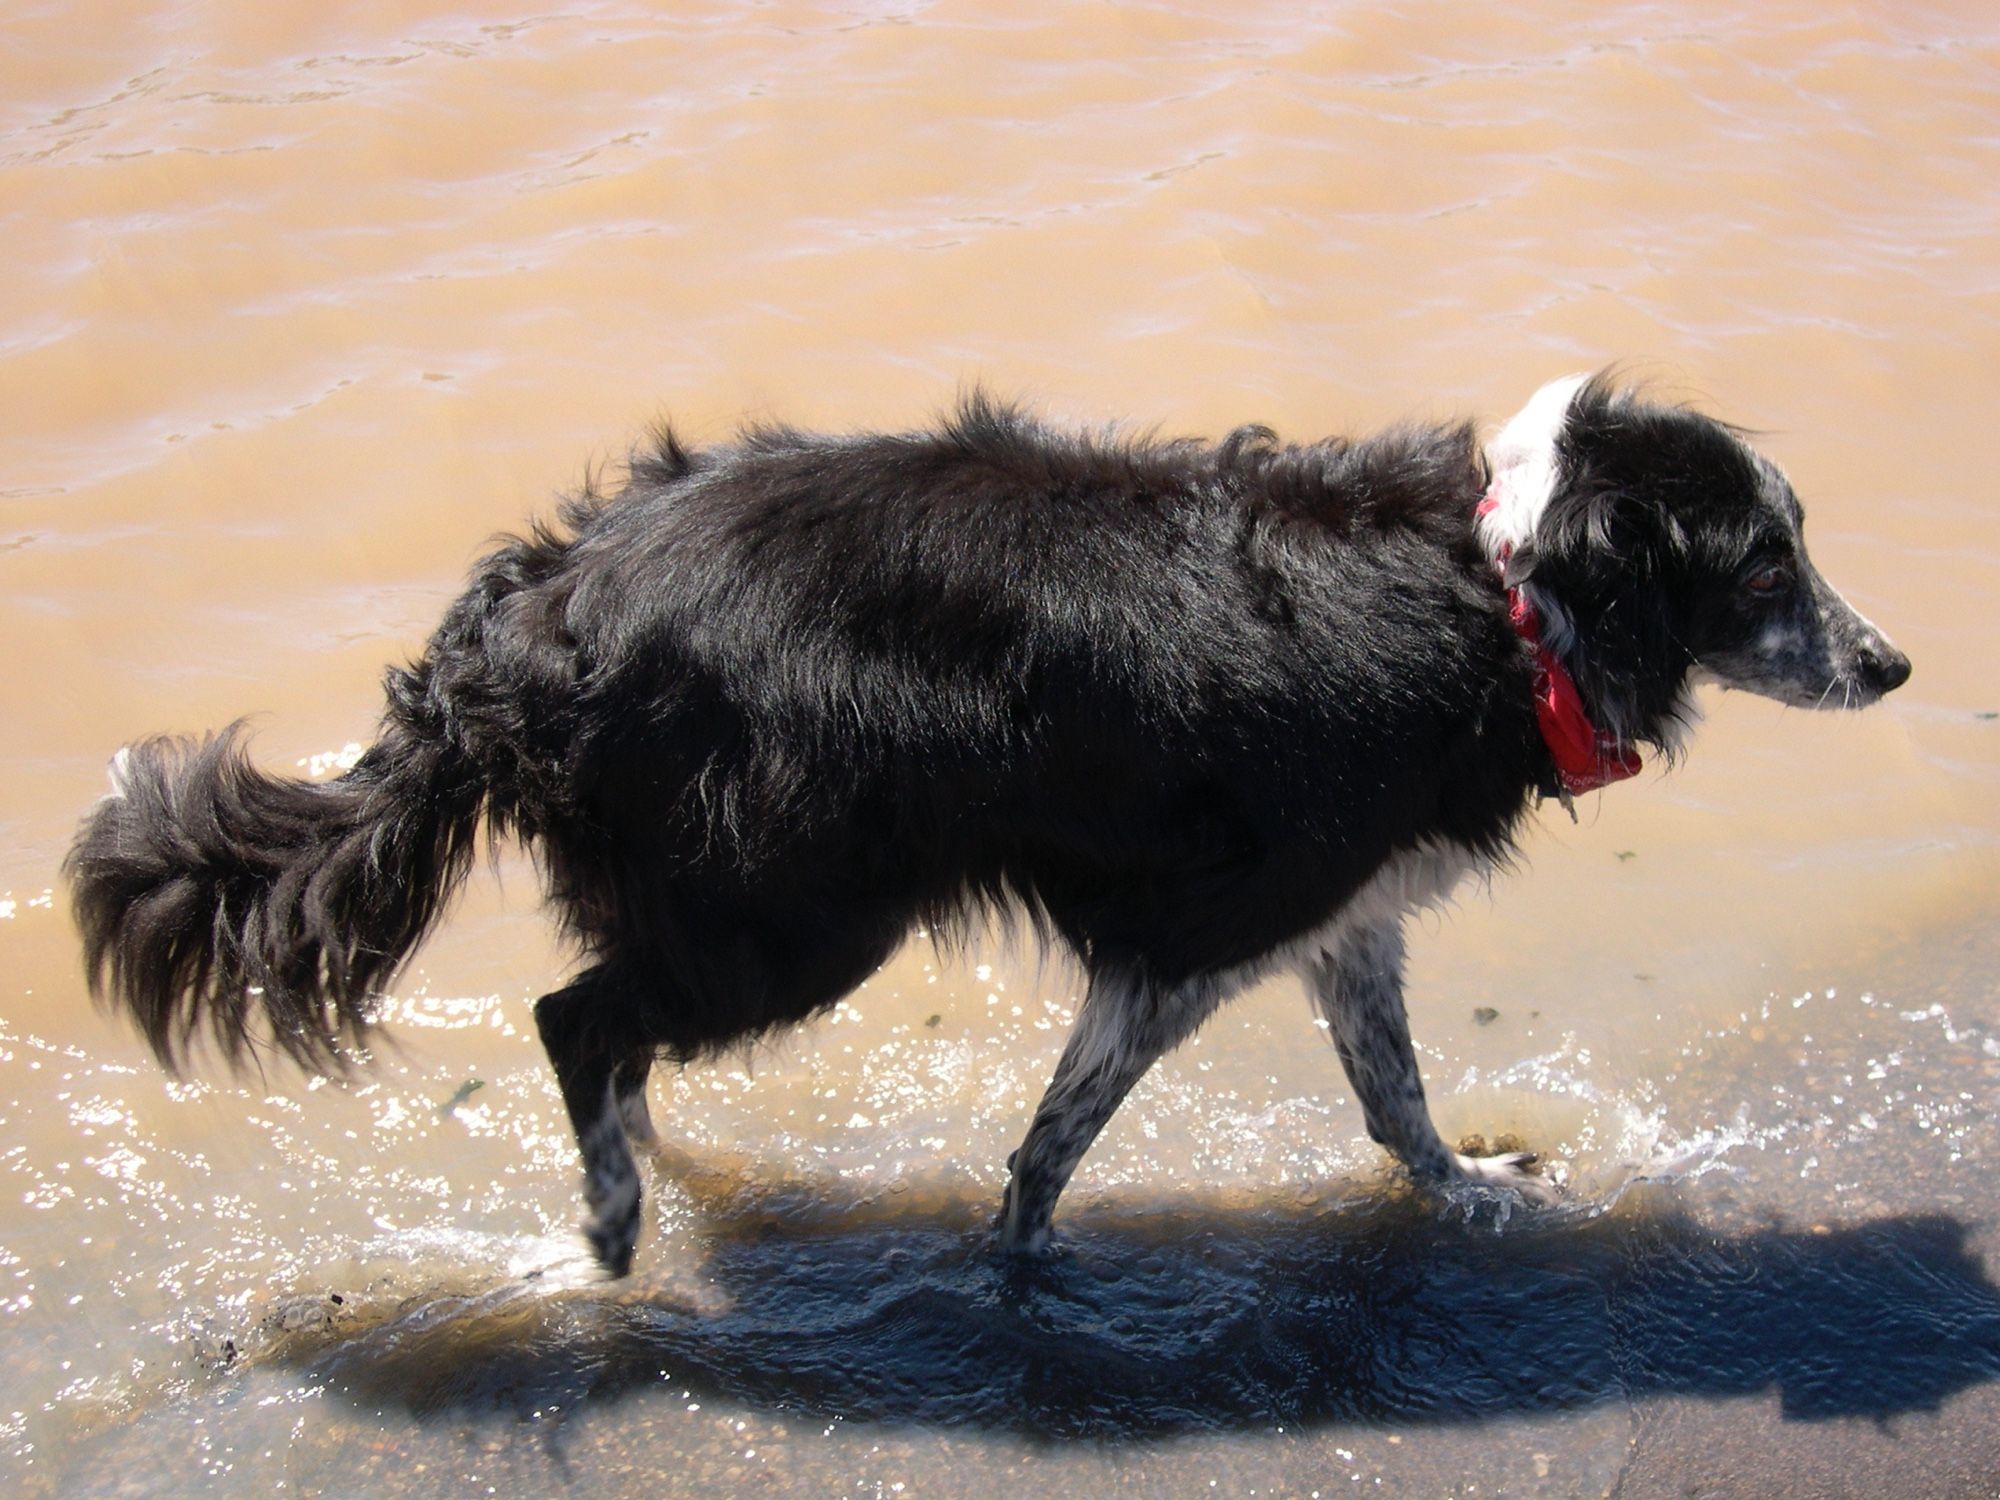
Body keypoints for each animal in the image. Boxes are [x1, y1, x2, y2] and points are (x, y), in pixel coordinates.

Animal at [62, 370, 1904, 1272]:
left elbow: (1395, 1098)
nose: (1891, 662)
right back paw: (613, 1224)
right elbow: (1054, 1139)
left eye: (1803, 541)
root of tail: (543, 599)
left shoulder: (1342, 917)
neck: (1512, 594)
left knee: (613, 1035)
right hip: (798, 913)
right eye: (1764, 567)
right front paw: (1019, 1277)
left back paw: (668, 1177)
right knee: (577, 1017)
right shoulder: (1190, 939)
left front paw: (1470, 1201)